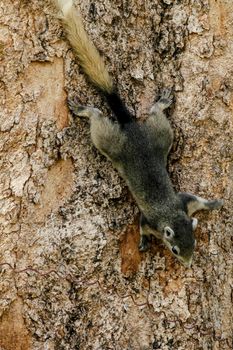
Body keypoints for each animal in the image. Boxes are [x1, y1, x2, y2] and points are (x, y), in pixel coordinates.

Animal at [53, 0, 223, 268]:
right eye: (175, 249)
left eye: (194, 243)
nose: (187, 264)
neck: (171, 214)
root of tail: (131, 126)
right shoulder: (149, 220)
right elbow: (142, 227)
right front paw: (143, 242)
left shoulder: (185, 202)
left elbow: (199, 200)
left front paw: (215, 203)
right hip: (109, 141)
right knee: (97, 118)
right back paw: (84, 110)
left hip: (160, 135)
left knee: (154, 114)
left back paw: (161, 103)